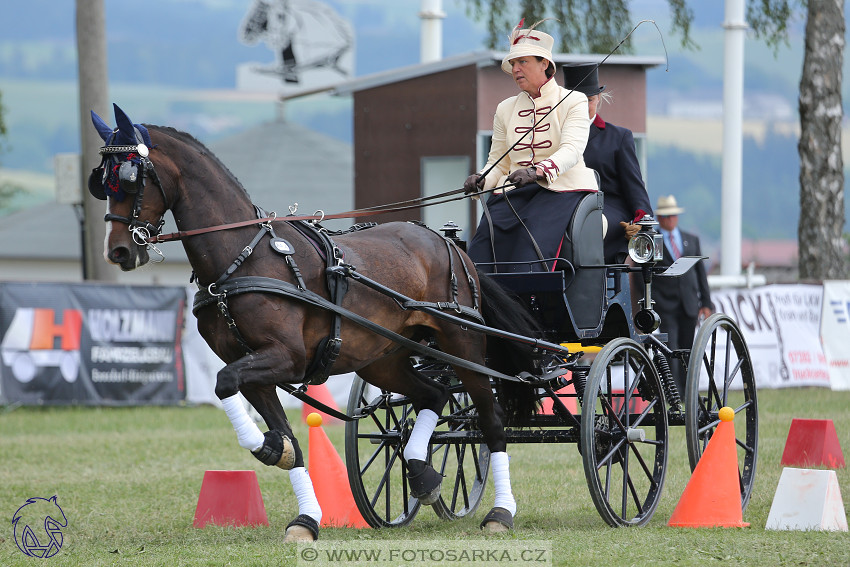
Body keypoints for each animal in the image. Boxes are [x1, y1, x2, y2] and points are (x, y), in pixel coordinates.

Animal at [86, 104, 536, 544]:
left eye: (130, 179)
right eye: (101, 183)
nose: (119, 251)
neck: (242, 256)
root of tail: (448, 243)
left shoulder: (285, 357)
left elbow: (225, 384)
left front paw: (270, 451)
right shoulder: (254, 366)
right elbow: (284, 434)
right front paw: (302, 509)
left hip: (464, 346)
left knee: (490, 421)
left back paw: (500, 512)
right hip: (384, 358)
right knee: (434, 393)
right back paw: (421, 473)